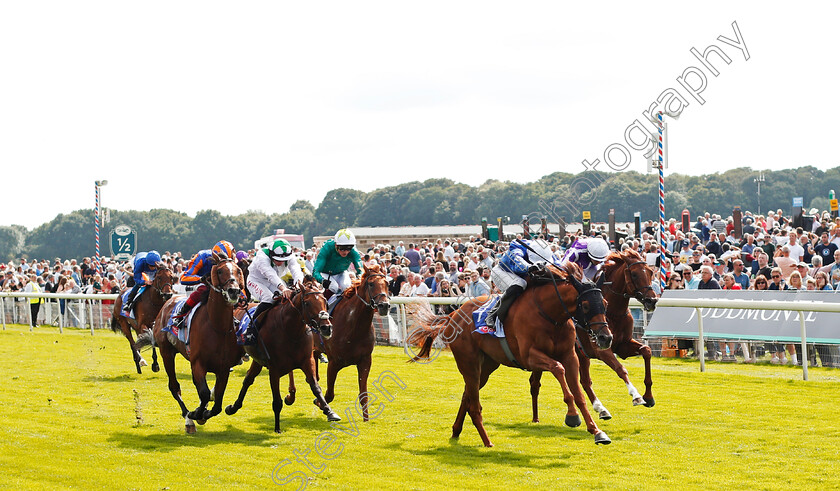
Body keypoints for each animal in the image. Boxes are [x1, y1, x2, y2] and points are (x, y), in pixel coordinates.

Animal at [138, 254, 246, 434]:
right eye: (219, 271)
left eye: (238, 271)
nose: (234, 291)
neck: (218, 327)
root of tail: (168, 301)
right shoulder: (198, 363)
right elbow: (204, 393)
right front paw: (195, 414)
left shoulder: (223, 368)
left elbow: (217, 402)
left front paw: (204, 412)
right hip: (167, 352)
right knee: (174, 386)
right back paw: (188, 418)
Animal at [225, 276, 342, 434]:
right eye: (307, 302)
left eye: (325, 301)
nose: (326, 328)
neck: (290, 330)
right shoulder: (274, 368)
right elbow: (277, 400)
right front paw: (277, 428)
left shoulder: (307, 360)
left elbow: (315, 387)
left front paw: (329, 411)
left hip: (258, 360)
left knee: (248, 378)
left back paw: (233, 407)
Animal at [288, 266, 390, 422]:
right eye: (371, 284)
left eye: (387, 284)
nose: (384, 305)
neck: (354, 326)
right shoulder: (334, 362)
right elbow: (329, 394)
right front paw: (320, 404)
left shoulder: (365, 360)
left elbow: (364, 395)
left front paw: (366, 420)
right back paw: (290, 396)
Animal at [406, 264, 612, 448]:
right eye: (585, 305)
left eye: (605, 303)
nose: (606, 338)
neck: (550, 315)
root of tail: (454, 314)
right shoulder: (529, 357)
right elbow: (558, 369)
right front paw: (572, 415)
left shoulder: (570, 356)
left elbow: (578, 393)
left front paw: (597, 431)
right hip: (469, 363)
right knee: (474, 405)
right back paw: (487, 441)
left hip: (486, 367)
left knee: (467, 395)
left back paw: (456, 430)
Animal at [528, 250, 660, 422]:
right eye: (634, 274)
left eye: (650, 272)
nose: (652, 300)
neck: (613, 313)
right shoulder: (601, 349)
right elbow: (621, 369)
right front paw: (636, 396)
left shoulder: (622, 345)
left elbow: (646, 351)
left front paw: (649, 397)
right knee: (535, 383)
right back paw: (536, 417)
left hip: (580, 355)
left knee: (584, 381)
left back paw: (601, 409)